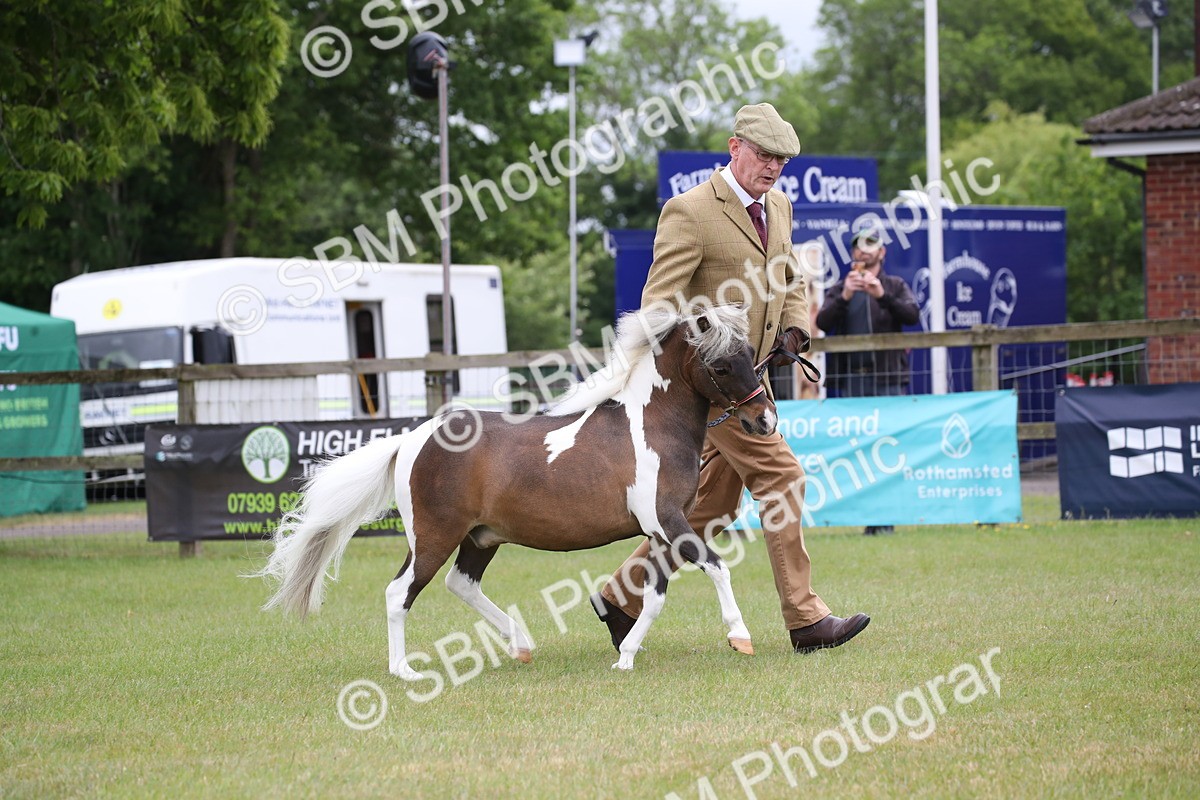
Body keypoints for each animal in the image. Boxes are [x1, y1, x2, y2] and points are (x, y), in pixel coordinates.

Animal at [255, 304, 779, 674]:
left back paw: (521, 644)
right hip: (433, 537)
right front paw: (741, 636)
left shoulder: (660, 532)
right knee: (399, 592)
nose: (765, 421)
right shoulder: (668, 522)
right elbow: (717, 568)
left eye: (750, 357)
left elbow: (654, 595)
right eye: (721, 365)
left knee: (460, 584)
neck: (652, 425)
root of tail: (411, 439)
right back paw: (404, 670)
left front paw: (626, 656)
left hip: (481, 537)